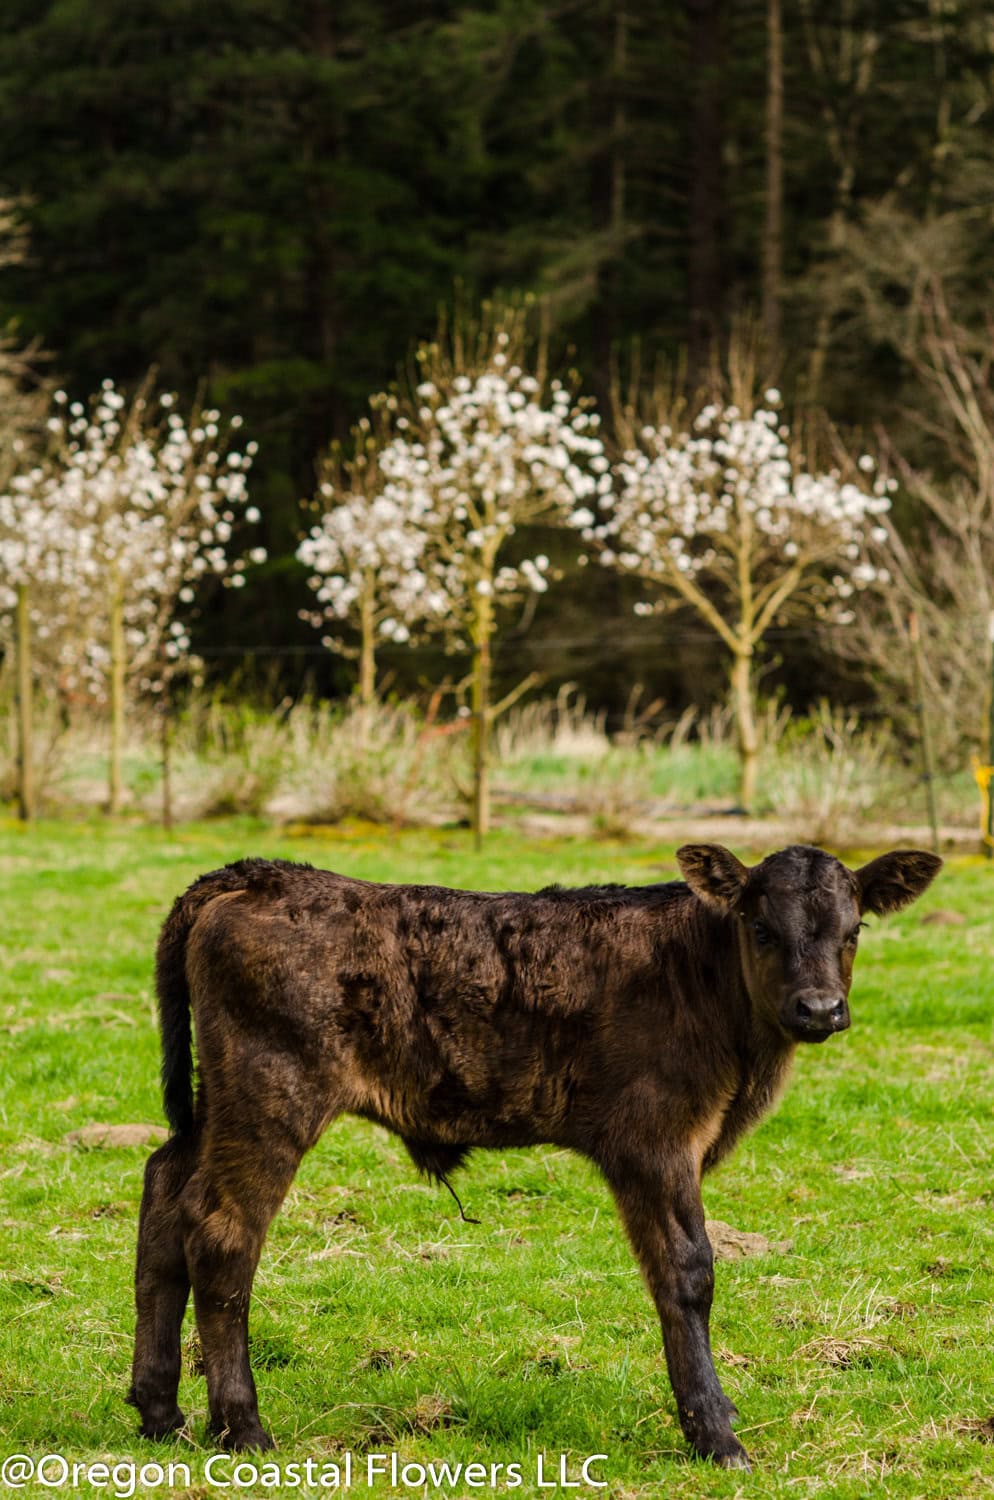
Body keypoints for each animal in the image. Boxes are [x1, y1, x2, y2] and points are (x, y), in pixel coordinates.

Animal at [127, 842, 941, 1468]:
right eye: (762, 928)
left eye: (854, 930)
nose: (819, 1009)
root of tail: (256, 873)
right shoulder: (654, 1143)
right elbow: (686, 1276)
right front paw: (714, 1435)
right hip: (271, 1093)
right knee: (223, 1234)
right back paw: (243, 1428)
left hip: (215, 1101)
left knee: (165, 1192)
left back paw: (160, 1411)